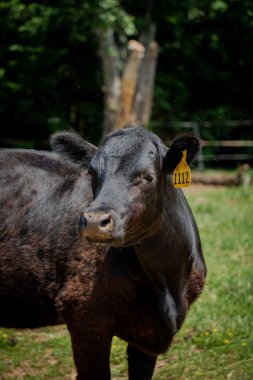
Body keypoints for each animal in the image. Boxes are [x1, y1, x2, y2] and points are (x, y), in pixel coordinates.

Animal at [0, 126, 206, 378]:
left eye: (147, 176)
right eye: (92, 173)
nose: (93, 221)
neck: (168, 286)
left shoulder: (148, 339)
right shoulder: (86, 319)